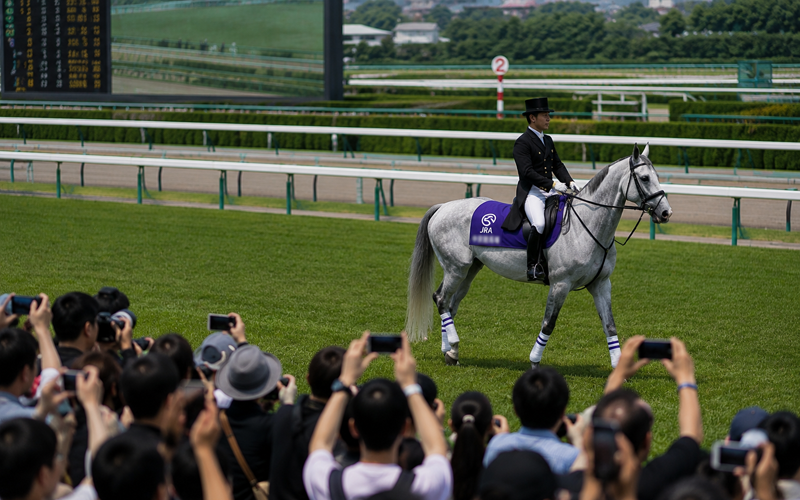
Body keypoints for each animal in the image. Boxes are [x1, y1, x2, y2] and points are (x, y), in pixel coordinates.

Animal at [405, 144, 673, 368]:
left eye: (657, 176)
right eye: (645, 178)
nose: (666, 212)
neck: (586, 225)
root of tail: (443, 207)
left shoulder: (601, 284)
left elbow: (610, 325)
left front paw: (618, 367)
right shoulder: (560, 284)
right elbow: (549, 323)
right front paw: (534, 361)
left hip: (471, 269)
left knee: (450, 304)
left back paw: (450, 352)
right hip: (456, 268)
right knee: (440, 299)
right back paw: (452, 345)